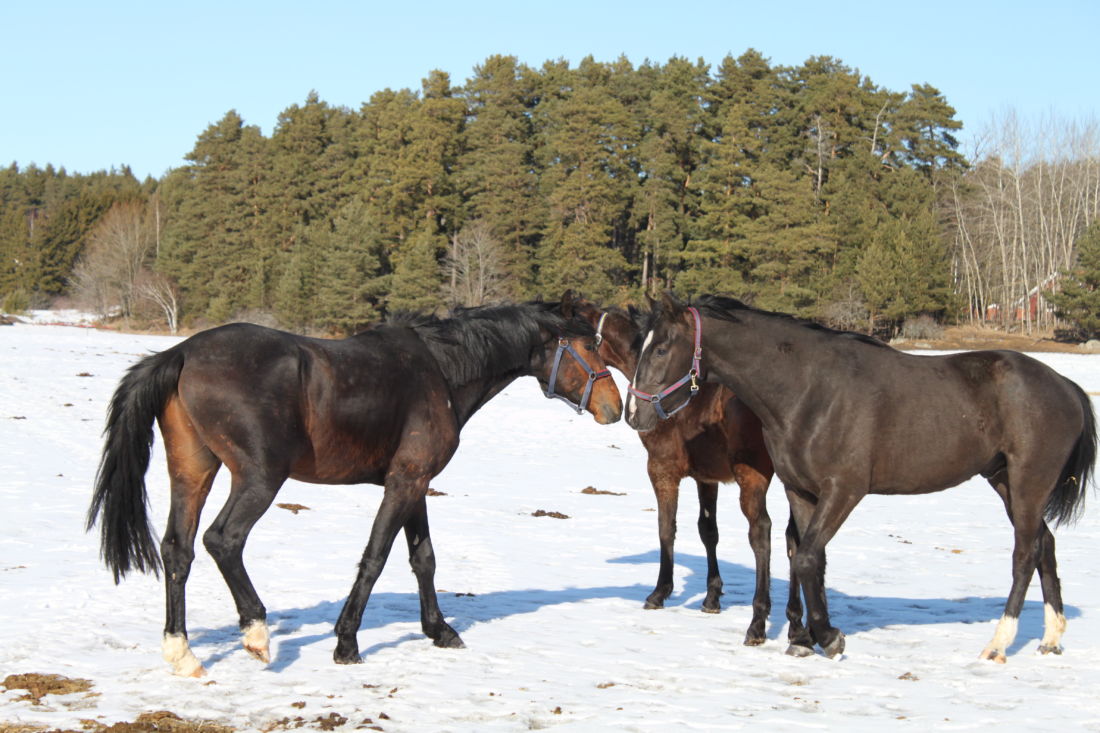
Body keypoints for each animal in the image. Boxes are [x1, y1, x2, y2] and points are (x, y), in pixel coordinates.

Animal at [88, 290, 620, 673]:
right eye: (588, 347)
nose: (615, 407)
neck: (441, 370)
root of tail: (181, 352)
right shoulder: (404, 483)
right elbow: (376, 558)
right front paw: (347, 642)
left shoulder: (415, 485)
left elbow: (423, 560)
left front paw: (440, 631)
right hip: (259, 478)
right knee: (223, 540)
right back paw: (256, 633)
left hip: (193, 470)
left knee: (177, 549)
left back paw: (182, 653)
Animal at [572, 297, 805, 647]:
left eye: (587, 343)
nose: (627, 412)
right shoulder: (706, 478)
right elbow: (708, 531)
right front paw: (712, 597)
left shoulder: (662, 470)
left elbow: (666, 528)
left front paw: (659, 592)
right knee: (795, 538)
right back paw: (795, 624)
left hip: (754, 477)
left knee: (761, 532)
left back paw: (759, 623)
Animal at [624, 292, 1095, 660]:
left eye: (661, 350)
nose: (634, 415)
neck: (809, 391)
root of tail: (1066, 386)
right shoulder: (801, 491)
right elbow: (808, 557)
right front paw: (805, 638)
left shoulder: (844, 490)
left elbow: (808, 557)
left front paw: (828, 638)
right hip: (1005, 482)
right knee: (1045, 545)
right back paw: (1051, 637)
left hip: (1029, 482)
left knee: (1024, 555)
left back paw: (998, 643)